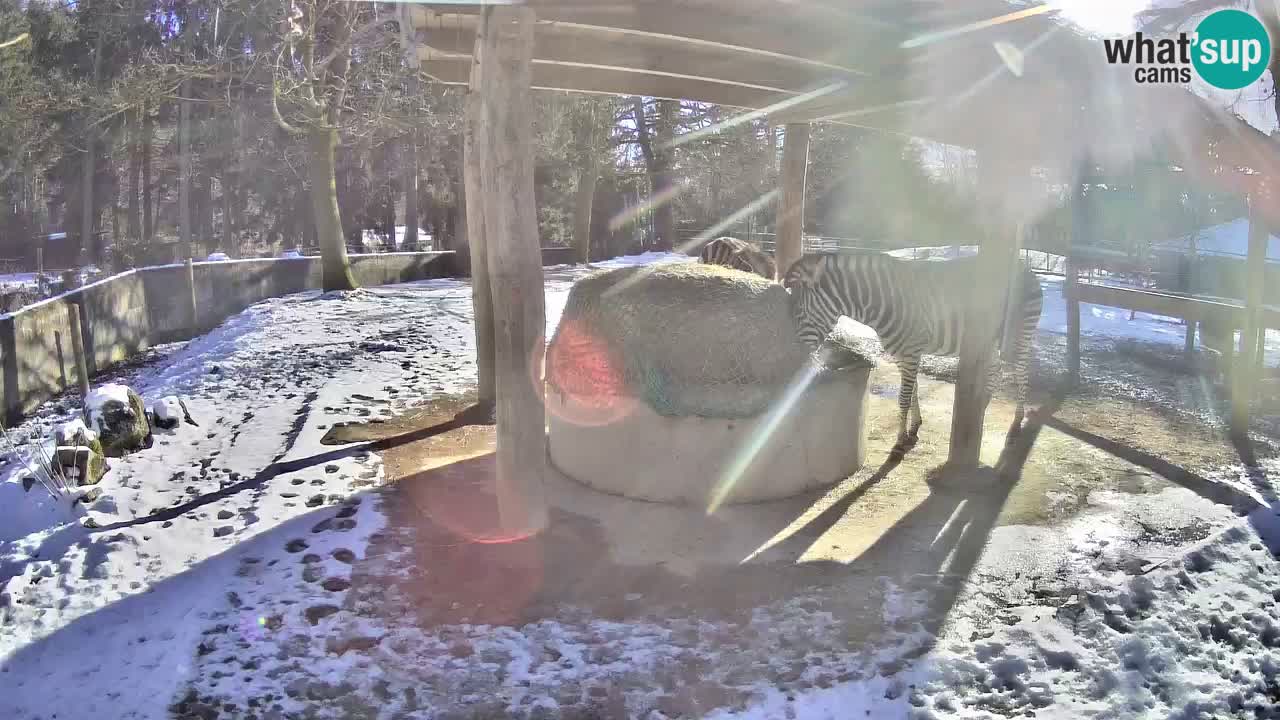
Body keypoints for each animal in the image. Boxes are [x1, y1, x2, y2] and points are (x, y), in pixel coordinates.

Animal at [783, 249, 1044, 456]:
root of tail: (1026, 266)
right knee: (995, 368)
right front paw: (914, 426)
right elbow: (914, 390)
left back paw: (1017, 421)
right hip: (989, 339)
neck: (881, 303)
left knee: (1022, 371)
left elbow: (903, 397)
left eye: (798, 313)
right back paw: (982, 406)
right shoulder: (901, 354)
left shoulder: (910, 352)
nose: (797, 357)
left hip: (1020, 332)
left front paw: (899, 440)